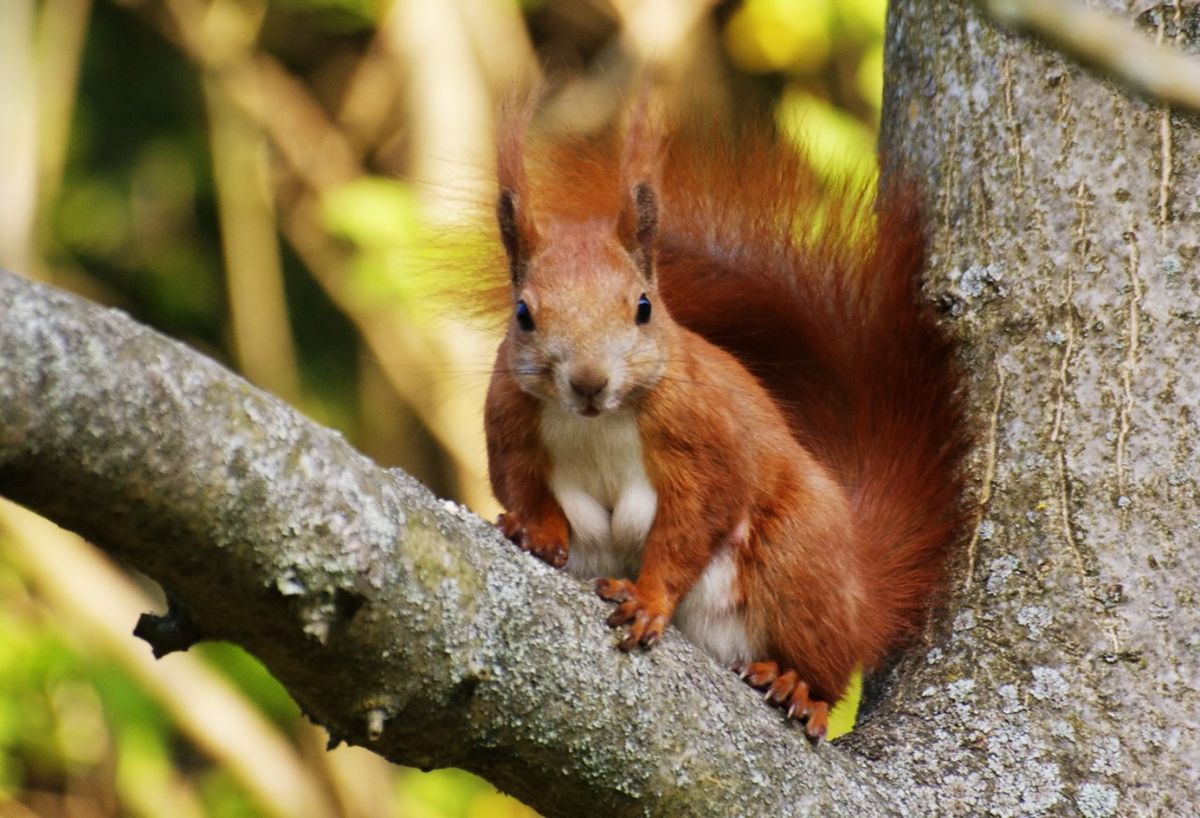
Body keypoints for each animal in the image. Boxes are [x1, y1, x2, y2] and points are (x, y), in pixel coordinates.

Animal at [481, 97, 970, 742]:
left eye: (644, 307)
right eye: (523, 314)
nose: (589, 382)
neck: (594, 422)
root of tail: (861, 590)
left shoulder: (703, 434)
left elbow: (696, 519)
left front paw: (649, 600)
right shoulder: (508, 423)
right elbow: (518, 484)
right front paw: (531, 531)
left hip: (800, 558)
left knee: (824, 661)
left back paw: (797, 685)